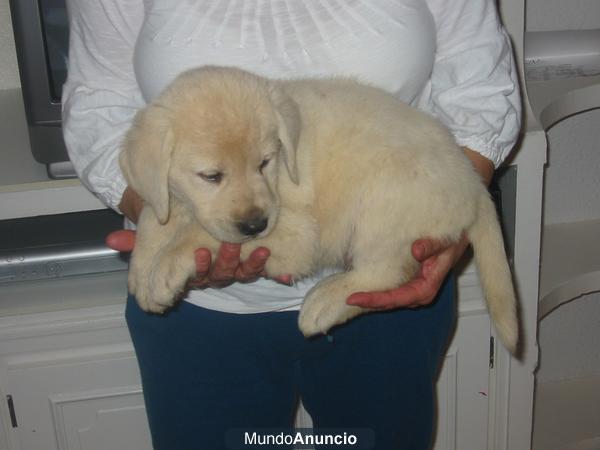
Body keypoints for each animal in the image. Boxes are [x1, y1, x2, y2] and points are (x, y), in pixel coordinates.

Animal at [119, 67, 516, 354]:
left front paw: (165, 268)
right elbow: (156, 215)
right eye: (211, 176)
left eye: (264, 163)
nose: (255, 225)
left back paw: (325, 301)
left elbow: (199, 234)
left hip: (385, 201)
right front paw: (143, 268)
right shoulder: (174, 196)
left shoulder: (296, 232)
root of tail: (474, 186)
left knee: (384, 272)